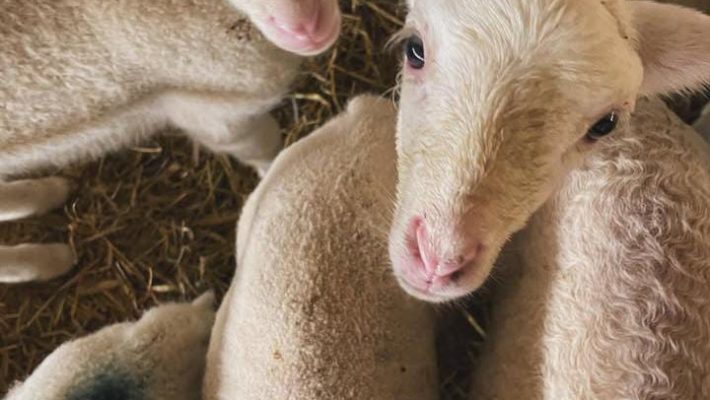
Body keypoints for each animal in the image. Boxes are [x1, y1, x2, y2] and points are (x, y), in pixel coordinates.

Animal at [0, 0, 341, 284]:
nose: (307, 27)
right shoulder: (209, 108)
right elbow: (265, 148)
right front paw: (279, 178)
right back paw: (50, 259)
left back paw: (48, 192)